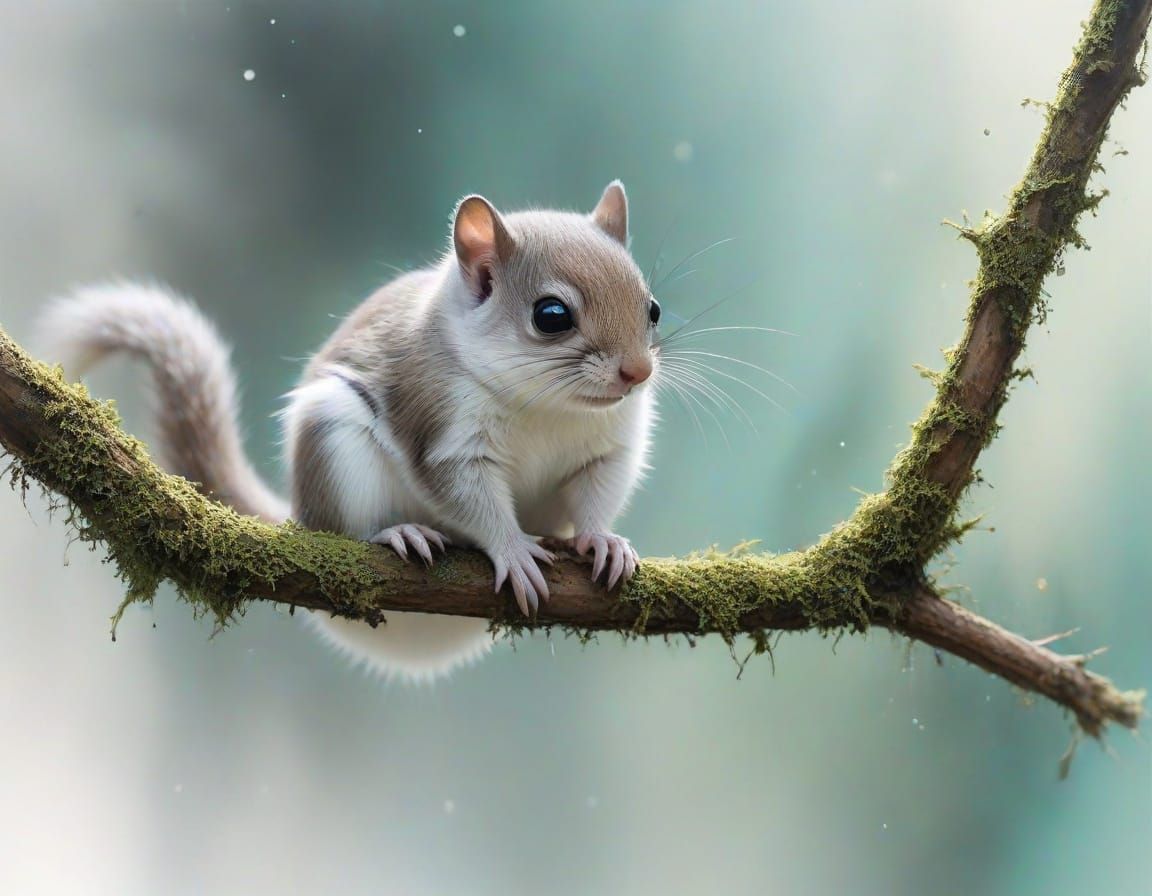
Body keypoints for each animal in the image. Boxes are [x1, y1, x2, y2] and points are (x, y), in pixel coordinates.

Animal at [38, 181, 659, 681]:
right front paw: (511, 549)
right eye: (551, 316)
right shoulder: (443, 433)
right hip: (333, 443)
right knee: (346, 529)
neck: (552, 407)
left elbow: (598, 495)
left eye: (651, 307)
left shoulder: (610, 448)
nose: (639, 373)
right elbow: (471, 500)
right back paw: (396, 534)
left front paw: (603, 540)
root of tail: (297, 514)